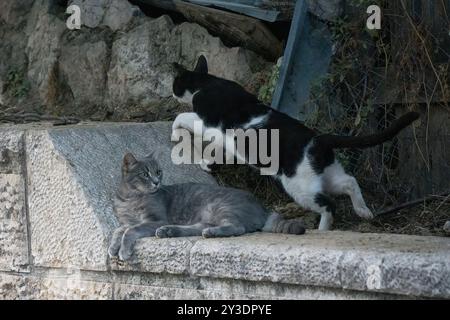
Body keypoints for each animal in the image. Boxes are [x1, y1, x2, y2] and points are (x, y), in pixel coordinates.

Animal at [109, 152, 306, 260]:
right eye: (145, 174)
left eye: (158, 172)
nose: (157, 182)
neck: (130, 198)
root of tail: (263, 208)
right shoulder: (126, 221)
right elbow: (119, 230)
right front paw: (113, 247)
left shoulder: (155, 219)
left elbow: (131, 230)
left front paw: (123, 251)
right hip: (208, 214)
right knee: (198, 228)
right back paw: (170, 231)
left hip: (221, 206)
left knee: (237, 227)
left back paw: (210, 232)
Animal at [171, 55, 420, 230]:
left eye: (175, 84)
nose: (172, 92)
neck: (207, 83)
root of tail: (318, 139)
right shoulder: (226, 142)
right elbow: (218, 152)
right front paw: (207, 164)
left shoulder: (206, 123)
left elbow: (181, 117)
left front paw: (175, 134)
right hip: (325, 176)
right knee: (349, 181)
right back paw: (363, 211)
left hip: (300, 187)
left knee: (329, 205)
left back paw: (323, 229)